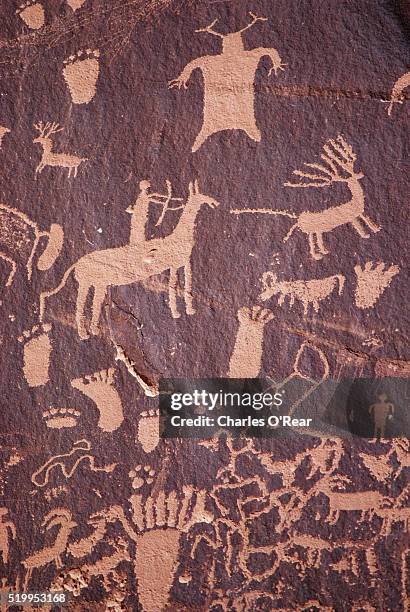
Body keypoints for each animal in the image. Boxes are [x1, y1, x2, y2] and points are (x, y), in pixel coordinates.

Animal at [40, 182, 219, 340]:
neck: (179, 236)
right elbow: (173, 287)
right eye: (204, 196)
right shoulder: (174, 265)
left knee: (91, 304)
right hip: (90, 283)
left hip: (95, 284)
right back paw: (86, 334)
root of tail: (77, 263)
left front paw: (190, 311)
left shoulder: (185, 263)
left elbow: (186, 286)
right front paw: (177, 312)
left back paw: (92, 331)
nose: (215, 202)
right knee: (83, 306)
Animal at [231, 135, 382, 260]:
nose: (361, 174)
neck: (355, 200)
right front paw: (367, 234)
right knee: (313, 241)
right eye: (351, 178)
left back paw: (323, 252)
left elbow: (364, 221)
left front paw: (375, 229)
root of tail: (298, 217)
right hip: (314, 230)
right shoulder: (353, 216)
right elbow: (360, 226)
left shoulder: (358, 214)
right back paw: (319, 255)